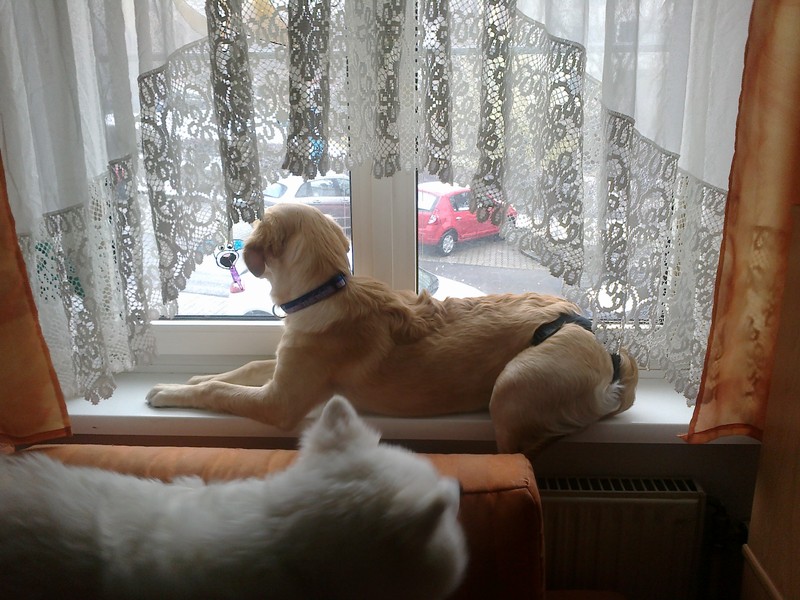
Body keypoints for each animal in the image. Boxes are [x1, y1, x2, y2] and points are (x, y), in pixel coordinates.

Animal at [148, 202, 638, 455]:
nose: (226, 255)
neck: (325, 291)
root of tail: (589, 329)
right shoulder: (286, 365)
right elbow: (244, 368)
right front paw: (195, 377)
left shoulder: (280, 402)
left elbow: (221, 392)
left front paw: (169, 391)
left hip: (513, 387)